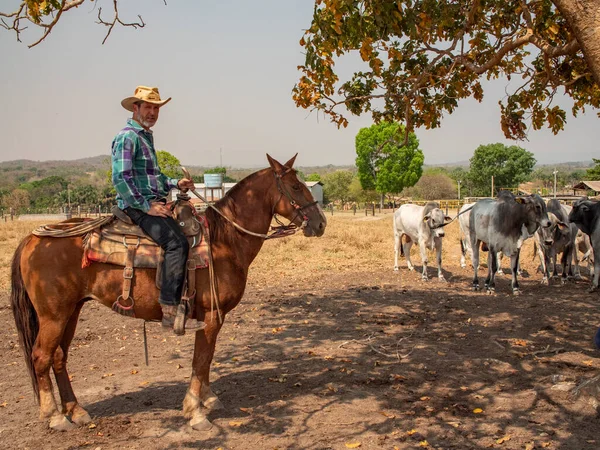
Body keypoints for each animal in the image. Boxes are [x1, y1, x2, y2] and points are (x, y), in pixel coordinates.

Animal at [9, 156, 326, 432]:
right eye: (295, 187)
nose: (320, 223)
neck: (224, 241)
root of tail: (32, 239)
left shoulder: (214, 318)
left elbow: (207, 359)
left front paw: (208, 399)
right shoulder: (210, 317)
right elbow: (201, 359)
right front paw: (195, 411)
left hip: (71, 311)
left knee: (59, 357)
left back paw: (76, 411)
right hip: (53, 315)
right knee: (41, 357)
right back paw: (54, 416)